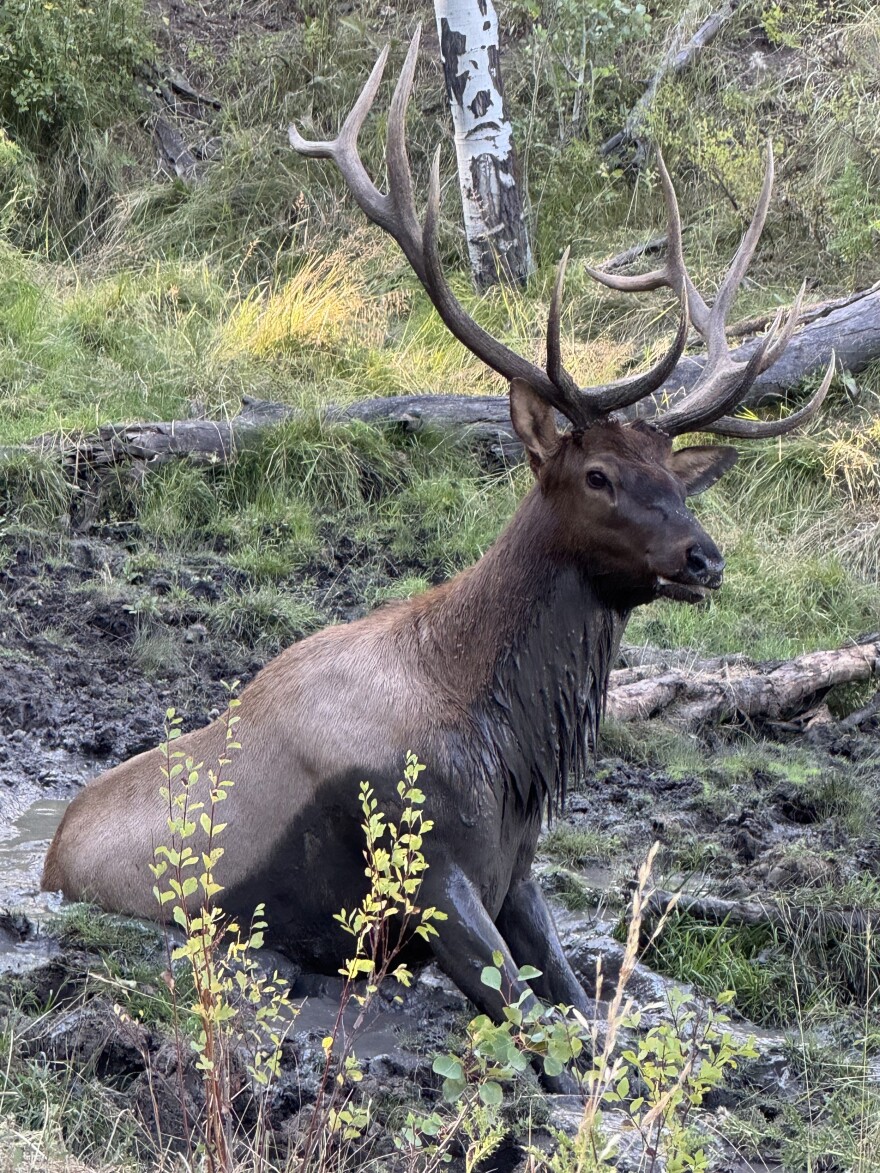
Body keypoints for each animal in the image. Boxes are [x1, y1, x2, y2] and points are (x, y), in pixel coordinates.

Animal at [43, 28, 832, 1053]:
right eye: (598, 474)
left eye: (672, 474)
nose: (706, 557)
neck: (505, 752)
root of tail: (49, 855)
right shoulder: (420, 875)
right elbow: (537, 1035)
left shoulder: (514, 872)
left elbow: (586, 1019)